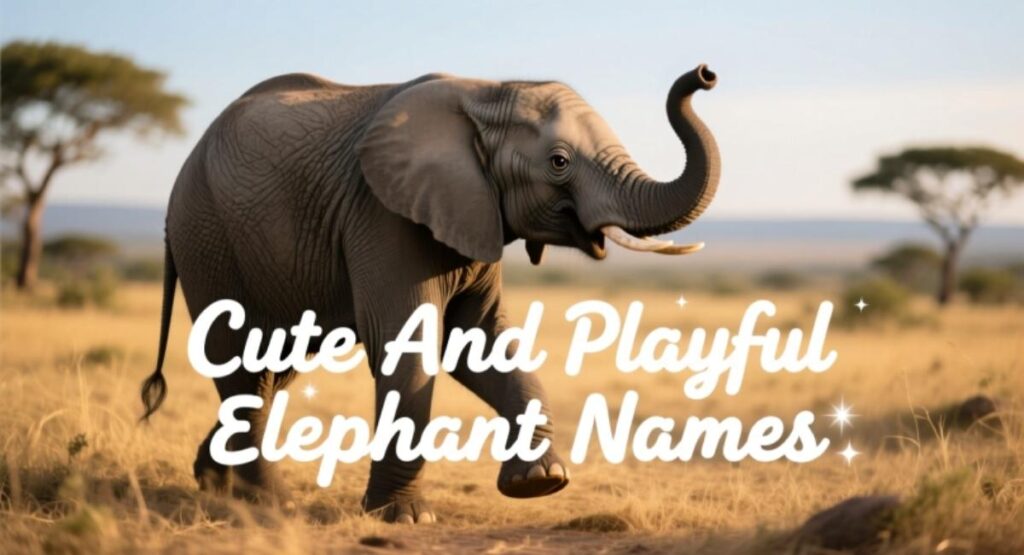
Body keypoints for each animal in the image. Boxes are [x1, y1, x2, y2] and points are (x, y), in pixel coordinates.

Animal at [139, 64, 720, 523]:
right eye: (559, 162)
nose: (705, 73)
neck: (487, 91)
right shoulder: (384, 215)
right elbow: (408, 349)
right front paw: (406, 518)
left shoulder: (474, 215)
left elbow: (481, 344)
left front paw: (540, 484)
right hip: (209, 236)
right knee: (241, 359)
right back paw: (268, 503)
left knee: (270, 368)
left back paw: (215, 483)